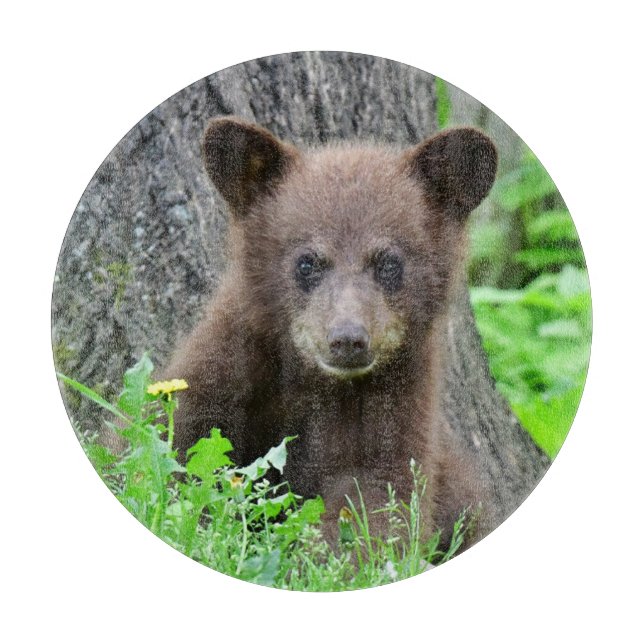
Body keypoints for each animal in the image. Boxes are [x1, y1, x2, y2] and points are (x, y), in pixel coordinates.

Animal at [165, 116, 499, 546]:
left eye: (388, 262)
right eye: (307, 262)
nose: (347, 340)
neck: (317, 383)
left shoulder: (396, 407)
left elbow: (376, 499)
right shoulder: (225, 372)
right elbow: (181, 448)